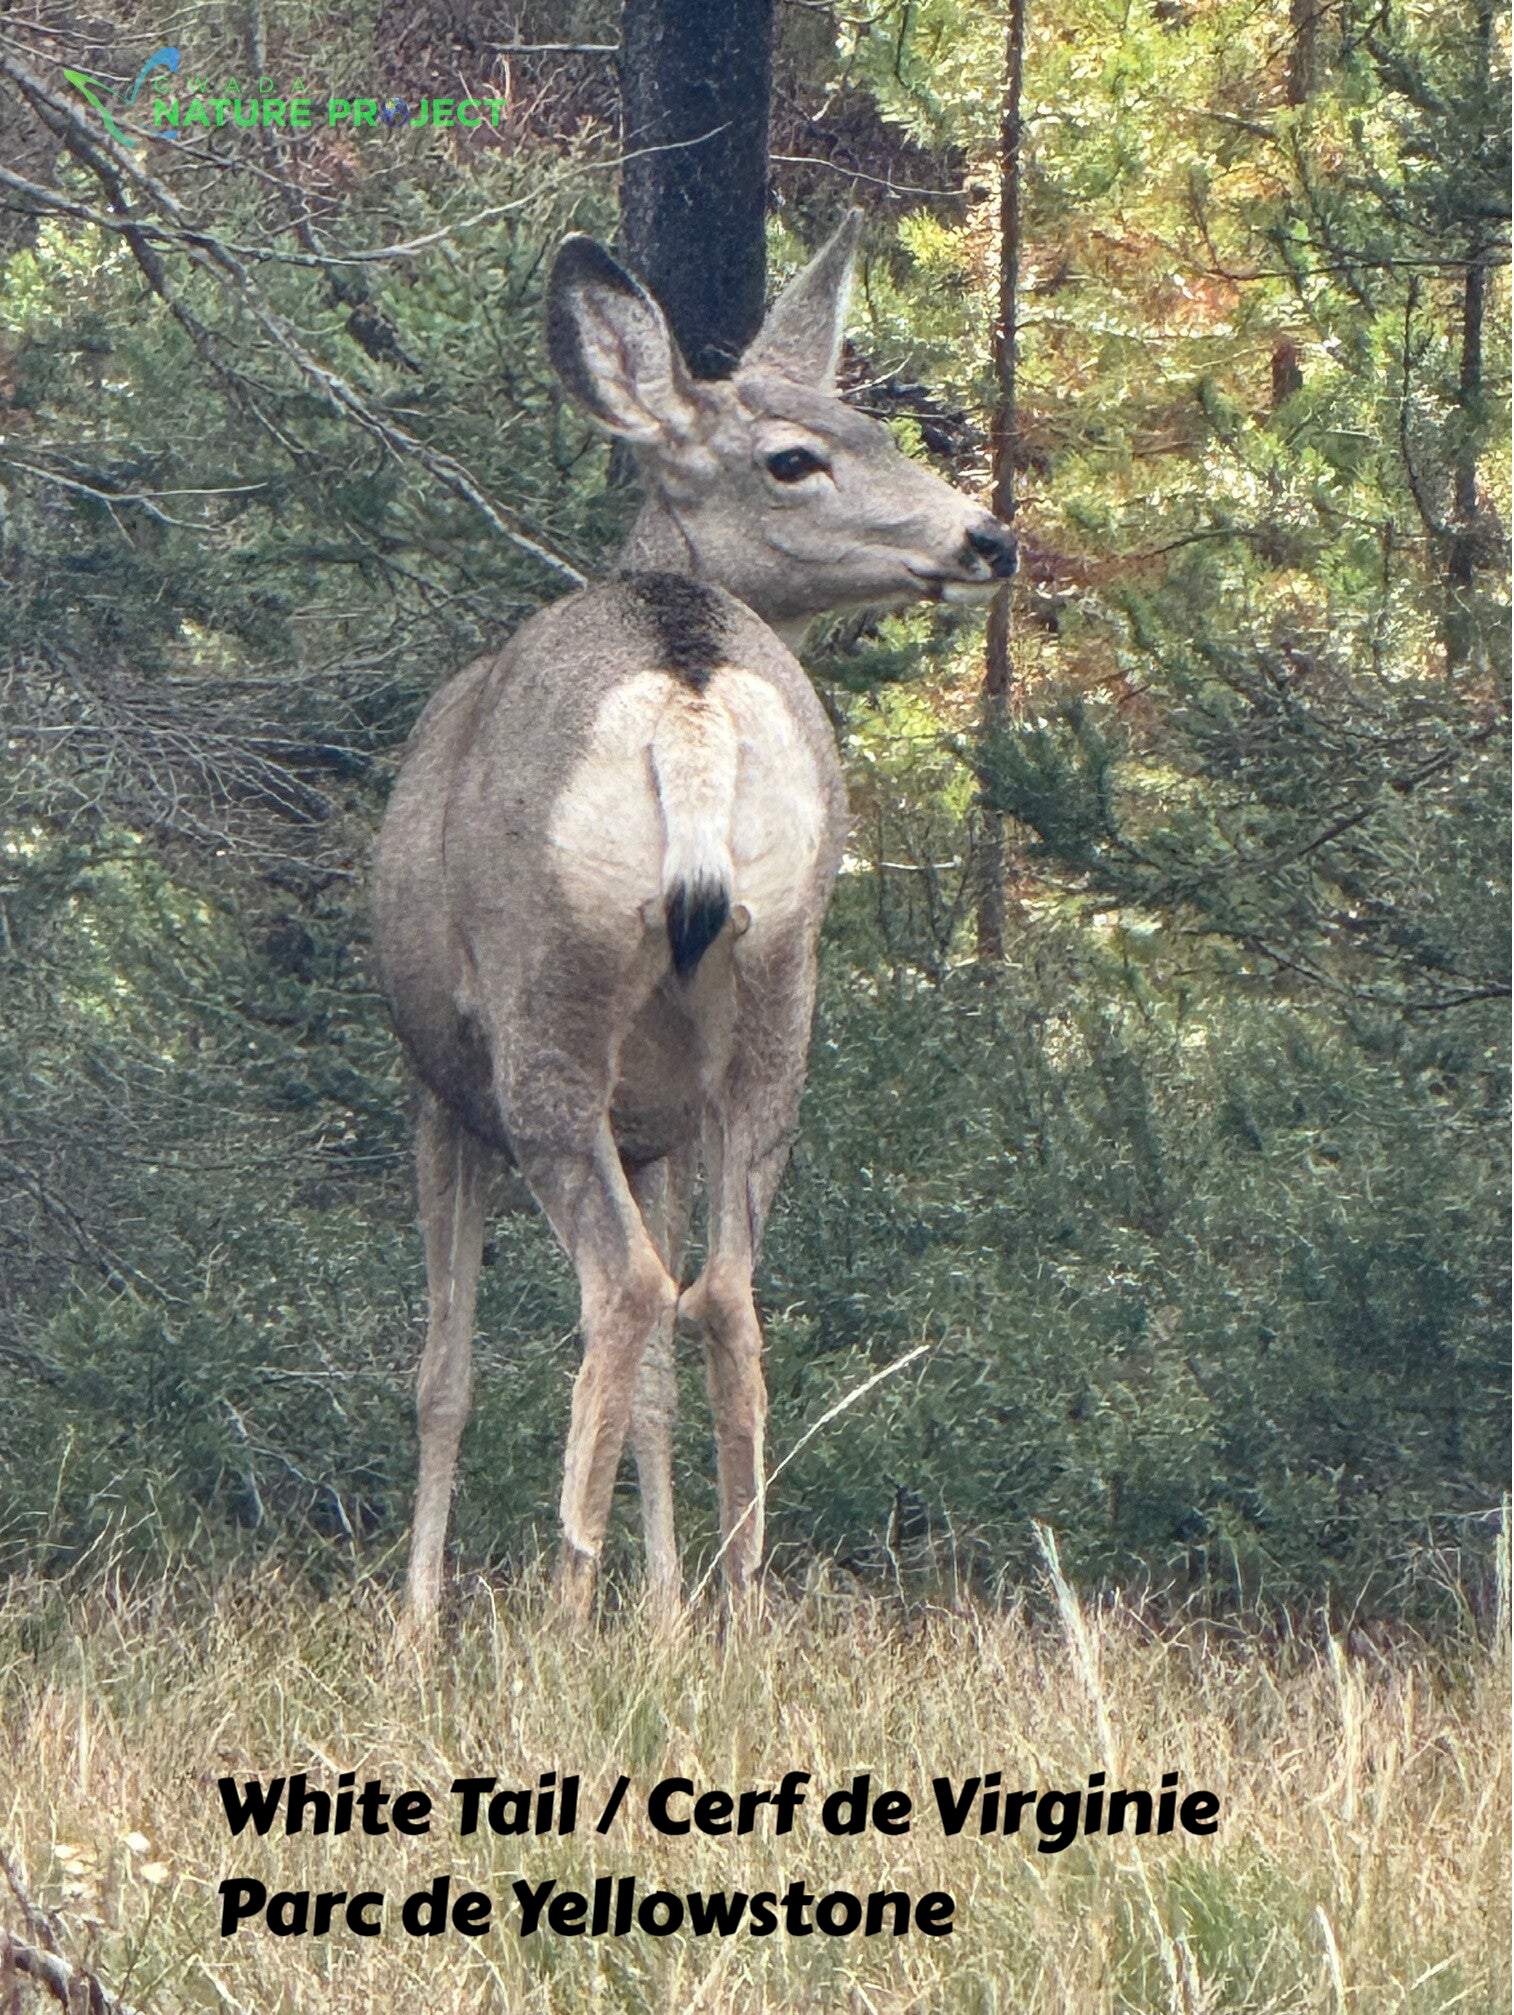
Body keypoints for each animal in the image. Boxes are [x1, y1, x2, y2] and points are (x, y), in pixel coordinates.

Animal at [372, 211, 1017, 1639]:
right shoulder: (658, 1120)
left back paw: (561, 1614)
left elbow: (442, 1369)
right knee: (719, 1292)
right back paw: (736, 1599)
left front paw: (417, 1626)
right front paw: (664, 1610)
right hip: (781, 975)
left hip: (545, 1000)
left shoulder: (435, 1080)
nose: (987, 539)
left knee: (617, 1291)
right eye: (798, 453)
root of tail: (688, 687)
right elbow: (664, 1373)